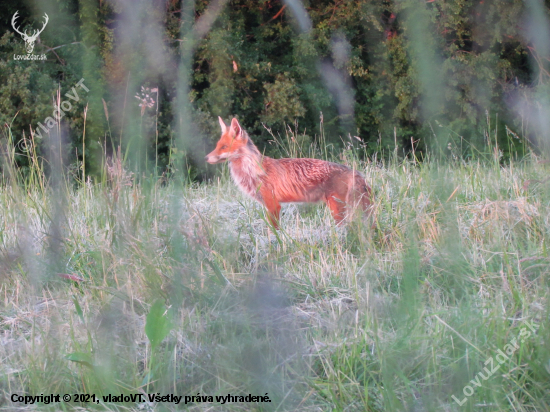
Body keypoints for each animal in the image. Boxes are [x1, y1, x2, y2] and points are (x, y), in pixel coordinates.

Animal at [207, 117, 376, 230]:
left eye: (224, 147)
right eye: (217, 146)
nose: (206, 158)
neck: (252, 171)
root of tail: (355, 172)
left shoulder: (273, 205)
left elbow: (274, 231)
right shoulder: (268, 206)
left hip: (337, 209)